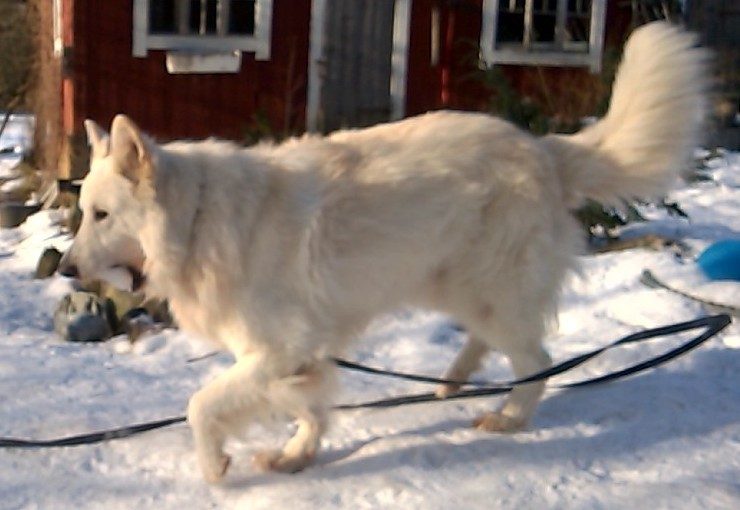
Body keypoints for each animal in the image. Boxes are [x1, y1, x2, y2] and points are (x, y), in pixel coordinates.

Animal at [58, 22, 707, 483]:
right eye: (83, 211)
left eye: (102, 215)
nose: (63, 269)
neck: (196, 220)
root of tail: (543, 149)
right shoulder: (296, 354)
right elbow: (306, 404)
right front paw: (297, 455)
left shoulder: (279, 348)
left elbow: (202, 404)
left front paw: (216, 464)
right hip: (453, 285)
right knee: (492, 341)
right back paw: (452, 380)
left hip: (488, 289)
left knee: (536, 359)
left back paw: (509, 415)